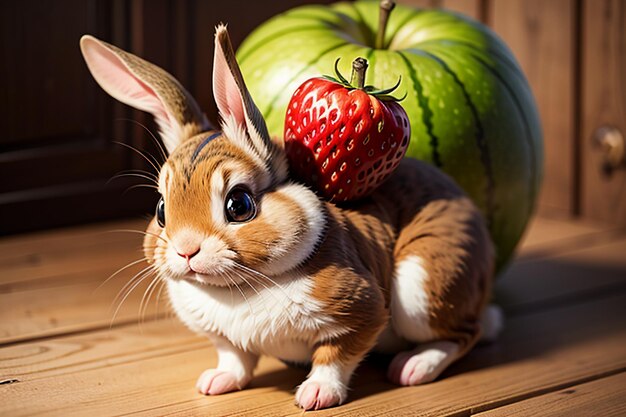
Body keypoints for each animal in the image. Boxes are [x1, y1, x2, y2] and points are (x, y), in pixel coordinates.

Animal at [80, 23, 500, 410]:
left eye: (239, 205)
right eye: (161, 210)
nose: (186, 251)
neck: (241, 288)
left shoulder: (361, 311)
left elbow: (334, 356)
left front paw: (316, 395)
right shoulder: (225, 339)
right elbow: (235, 359)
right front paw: (215, 382)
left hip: (422, 289)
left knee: (466, 333)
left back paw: (413, 367)